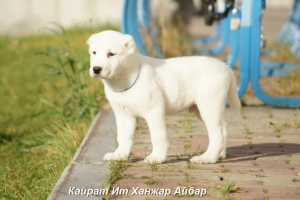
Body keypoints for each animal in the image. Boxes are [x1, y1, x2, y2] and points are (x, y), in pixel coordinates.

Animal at [86, 30, 241, 164]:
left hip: (209, 105)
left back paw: (207, 158)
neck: (124, 78)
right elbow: (124, 137)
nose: (96, 69)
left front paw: (157, 158)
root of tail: (225, 67)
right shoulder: (123, 114)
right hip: (202, 109)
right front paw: (119, 155)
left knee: (217, 134)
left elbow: (157, 137)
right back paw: (220, 154)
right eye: (94, 52)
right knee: (223, 127)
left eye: (111, 54)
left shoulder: (154, 111)